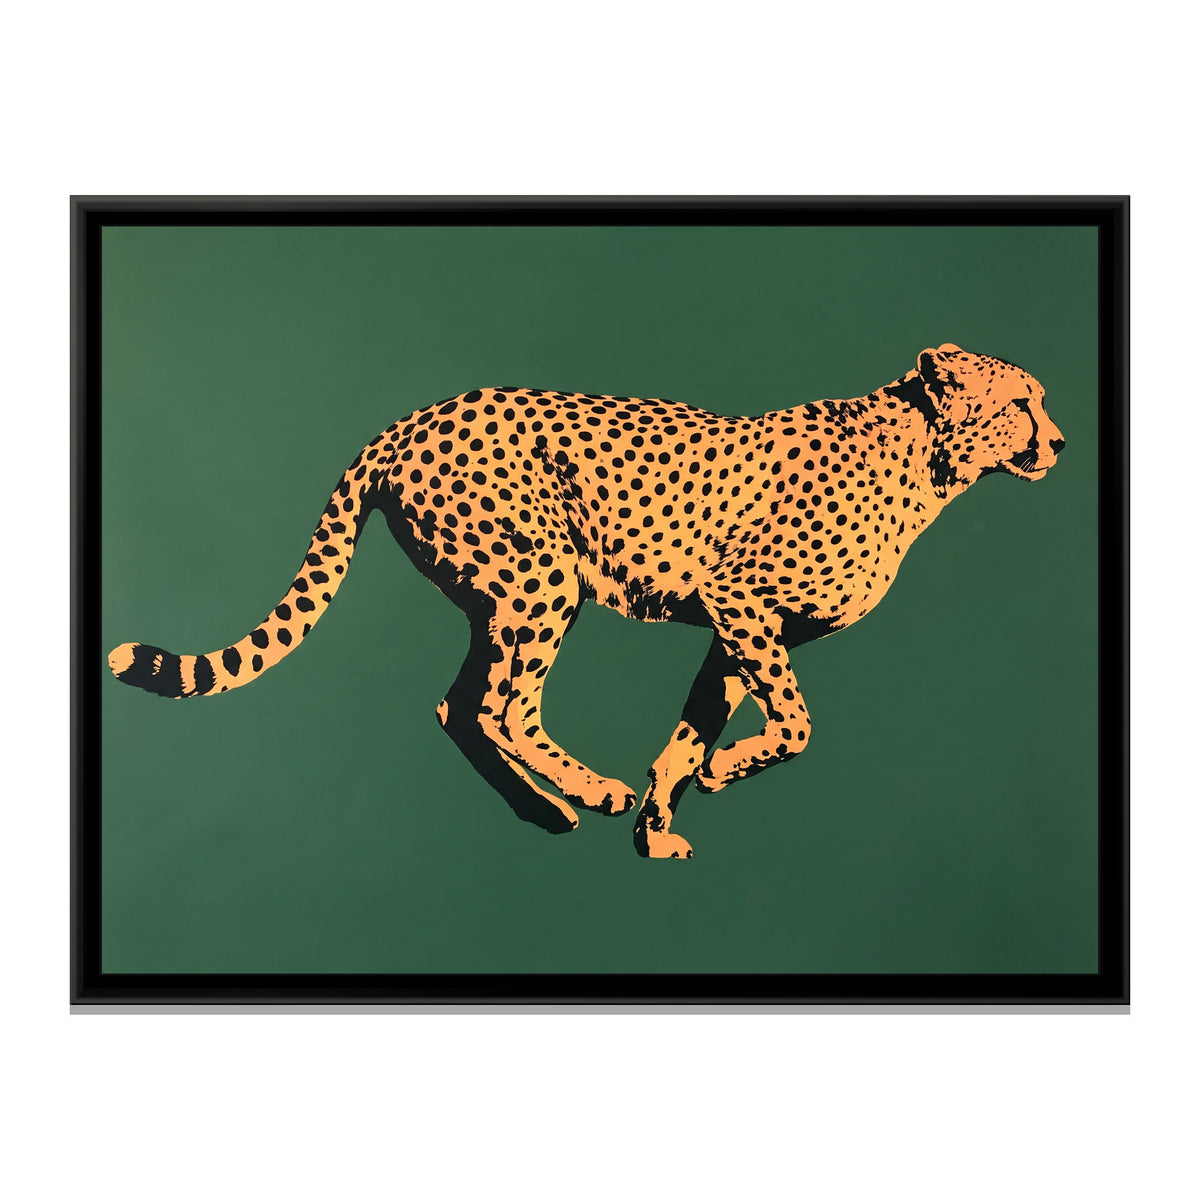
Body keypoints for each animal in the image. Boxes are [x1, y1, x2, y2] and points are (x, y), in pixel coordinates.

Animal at [109, 344, 1065, 858]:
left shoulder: (733, 627)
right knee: (500, 706)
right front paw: (716, 774)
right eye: (1021, 402)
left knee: (460, 704)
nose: (1058, 441)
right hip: (542, 576)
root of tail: (412, 418)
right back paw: (589, 790)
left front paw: (662, 821)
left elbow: (692, 730)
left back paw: (547, 807)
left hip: (504, 595)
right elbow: (793, 725)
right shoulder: (740, 600)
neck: (927, 462)